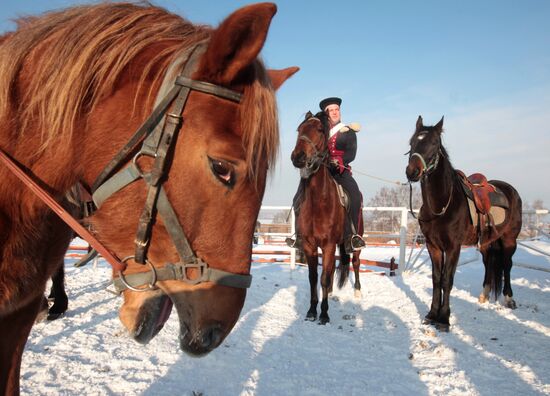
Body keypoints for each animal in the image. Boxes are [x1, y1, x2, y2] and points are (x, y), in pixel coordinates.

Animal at [292, 110, 364, 324]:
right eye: (299, 129)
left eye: (319, 129)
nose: (298, 157)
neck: (318, 201)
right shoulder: (309, 245)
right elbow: (314, 278)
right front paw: (311, 310)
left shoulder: (329, 244)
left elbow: (323, 278)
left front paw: (324, 314)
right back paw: (331, 291)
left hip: (354, 243)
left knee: (355, 263)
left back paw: (357, 291)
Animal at [408, 115, 524, 332]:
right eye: (411, 143)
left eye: (434, 143)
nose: (412, 171)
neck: (443, 205)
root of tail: (510, 190)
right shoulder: (433, 246)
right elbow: (436, 279)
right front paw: (431, 315)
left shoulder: (453, 247)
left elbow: (447, 280)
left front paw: (443, 319)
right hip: (487, 243)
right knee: (489, 263)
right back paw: (484, 295)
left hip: (509, 239)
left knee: (507, 264)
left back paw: (509, 299)